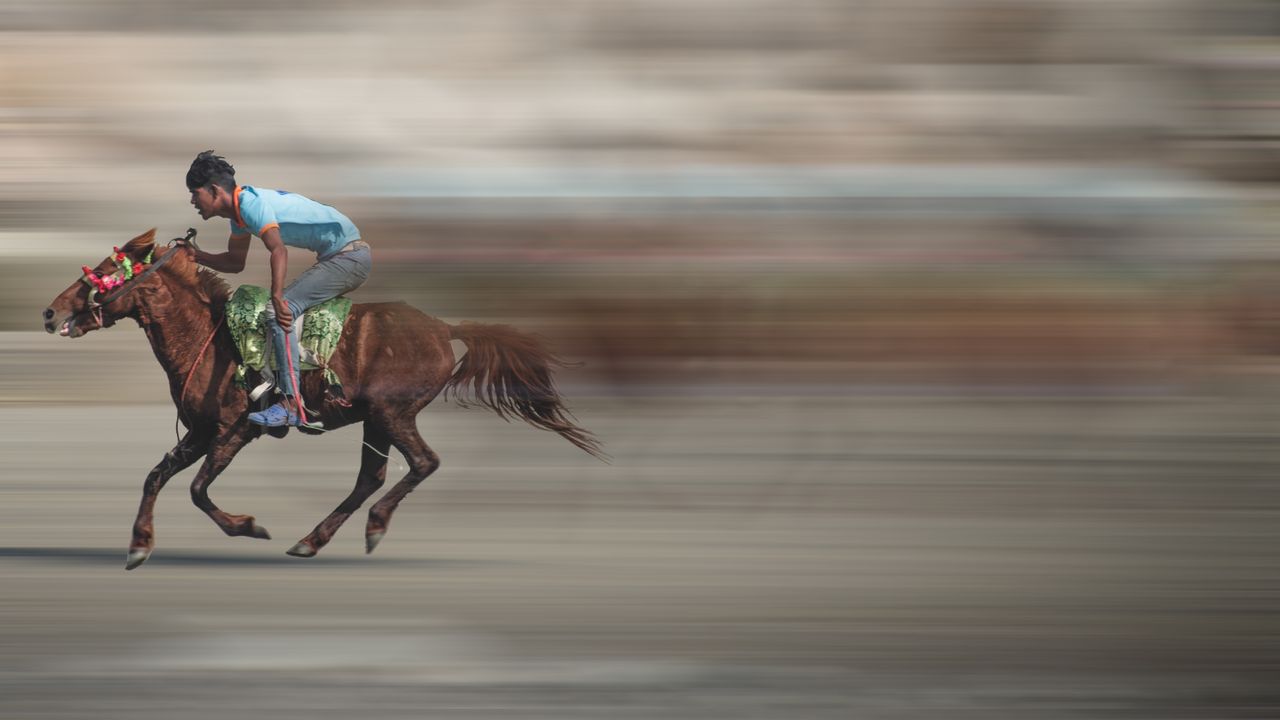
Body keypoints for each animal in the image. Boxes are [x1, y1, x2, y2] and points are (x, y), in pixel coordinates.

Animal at [43, 229, 604, 570]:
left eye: (102, 272)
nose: (51, 312)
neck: (208, 336)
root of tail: (445, 328)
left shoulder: (235, 429)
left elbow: (199, 490)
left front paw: (249, 526)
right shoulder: (201, 431)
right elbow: (155, 477)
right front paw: (139, 546)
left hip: (392, 412)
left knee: (422, 463)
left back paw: (371, 527)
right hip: (375, 419)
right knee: (371, 477)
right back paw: (312, 539)